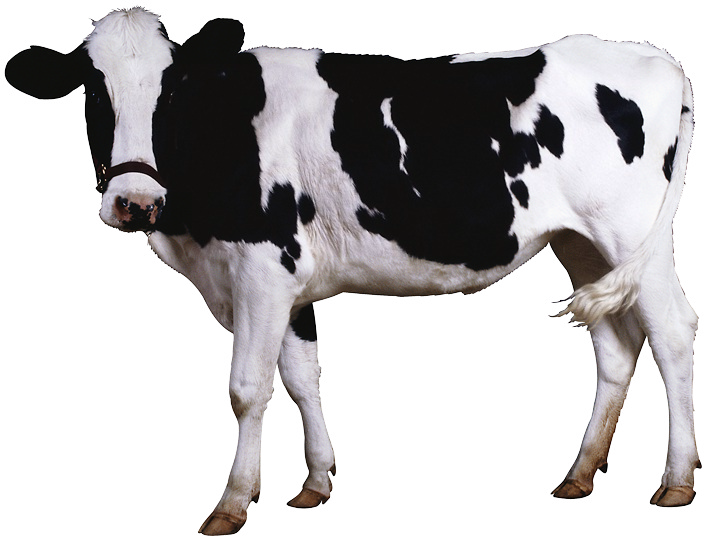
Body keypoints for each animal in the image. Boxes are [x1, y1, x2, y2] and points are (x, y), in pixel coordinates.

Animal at [3, 7, 699, 535]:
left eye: (172, 92)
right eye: (95, 91)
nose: (135, 201)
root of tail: (659, 60)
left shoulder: (263, 269)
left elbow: (248, 387)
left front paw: (231, 506)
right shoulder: (282, 283)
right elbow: (302, 378)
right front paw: (314, 484)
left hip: (631, 235)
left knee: (671, 335)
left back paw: (675, 483)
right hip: (581, 243)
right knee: (617, 344)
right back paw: (579, 476)